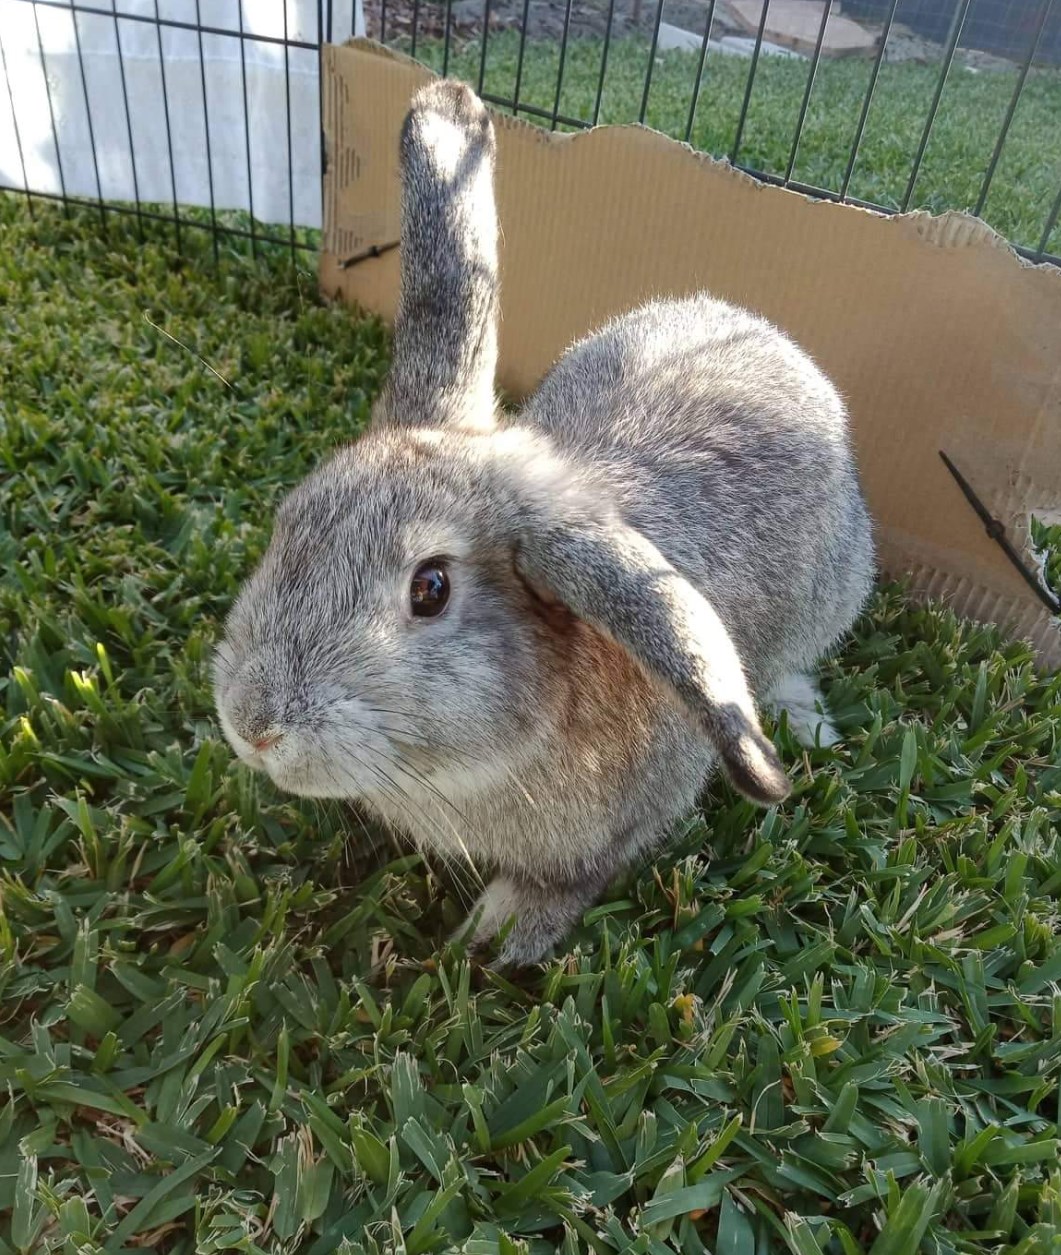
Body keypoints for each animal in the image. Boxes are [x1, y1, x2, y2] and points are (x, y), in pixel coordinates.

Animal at [213, 79, 874, 968]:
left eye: (430, 588)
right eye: (292, 519)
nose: (254, 726)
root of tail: (767, 332)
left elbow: (570, 881)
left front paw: (498, 936)